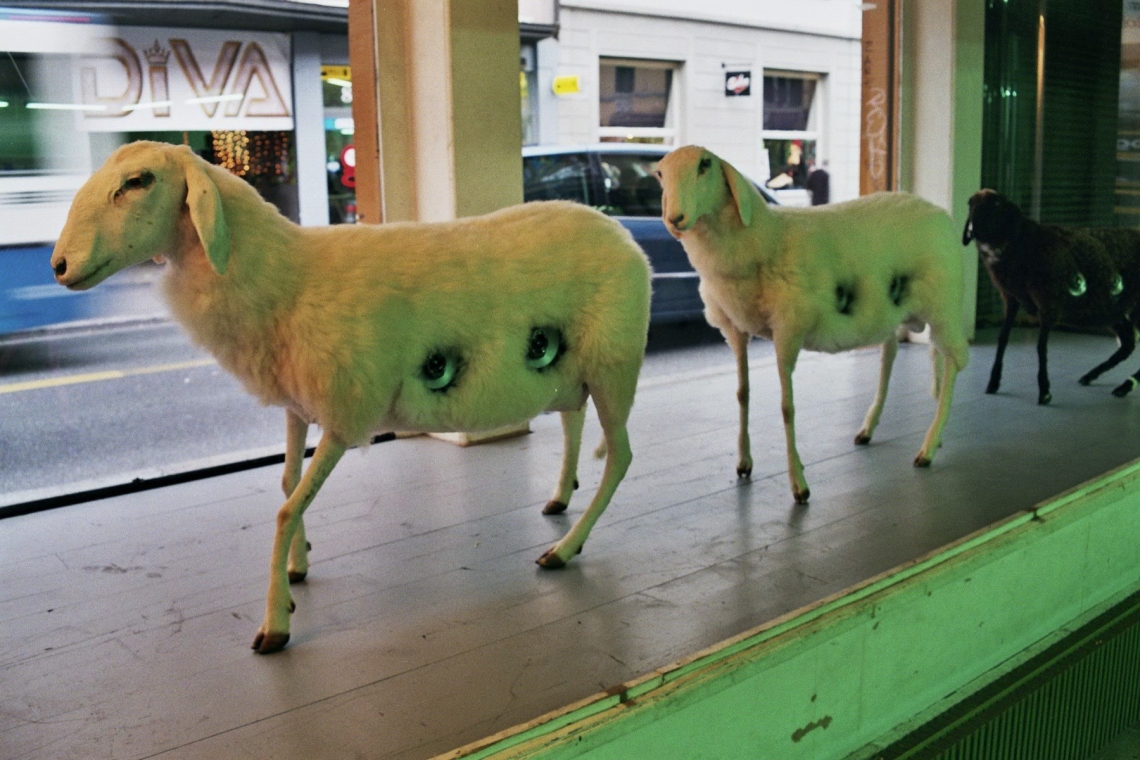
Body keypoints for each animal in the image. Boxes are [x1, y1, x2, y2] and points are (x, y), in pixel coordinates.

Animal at [52, 141, 651, 654]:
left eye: (139, 181)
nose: (58, 266)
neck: (284, 279)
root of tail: (615, 227)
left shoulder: (344, 414)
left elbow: (285, 508)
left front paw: (275, 623)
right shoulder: (298, 405)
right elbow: (287, 484)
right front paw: (297, 569)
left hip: (614, 363)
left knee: (621, 457)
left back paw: (565, 549)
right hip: (575, 369)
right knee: (574, 419)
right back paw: (559, 499)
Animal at [655, 145, 969, 504]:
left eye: (705, 165)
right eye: (660, 173)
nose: (674, 219)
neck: (764, 240)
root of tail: (936, 209)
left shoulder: (788, 327)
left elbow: (786, 407)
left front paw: (799, 484)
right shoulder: (735, 328)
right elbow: (742, 393)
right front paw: (744, 462)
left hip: (943, 303)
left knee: (954, 360)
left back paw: (928, 446)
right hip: (892, 310)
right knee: (892, 352)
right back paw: (871, 427)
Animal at [963, 189, 1140, 404]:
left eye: (997, 204)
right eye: (970, 204)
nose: (971, 231)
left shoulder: (1049, 303)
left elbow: (1041, 346)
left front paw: (1044, 391)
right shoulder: (1012, 299)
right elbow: (1002, 339)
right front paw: (993, 383)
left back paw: (1125, 385)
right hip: (1113, 311)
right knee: (1128, 343)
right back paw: (1094, 377)